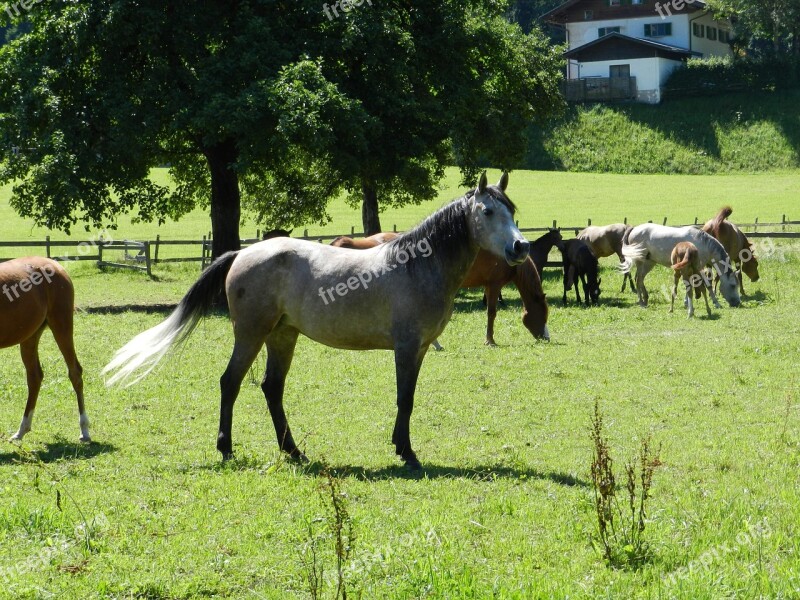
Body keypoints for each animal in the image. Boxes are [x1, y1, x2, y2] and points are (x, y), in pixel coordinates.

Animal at [0, 256, 90, 440]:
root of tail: (56, 265)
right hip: (30, 337)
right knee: (34, 377)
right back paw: (22, 430)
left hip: (62, 326)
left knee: (75, 373)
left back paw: (84, 430)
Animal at [104, 171, 532, 472]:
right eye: (487, 211)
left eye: (512, 210)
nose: (520, 246)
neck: (419, 265)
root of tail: (242, 253)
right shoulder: (407, 348)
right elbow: (404, 399)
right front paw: (407, 452)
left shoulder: (422, 348)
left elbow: (407, 398)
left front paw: (401, 447)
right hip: (252, 334)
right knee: (231, 382)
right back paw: (226, 448)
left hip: (282, 336)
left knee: (271, 388)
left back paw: (293, 451)